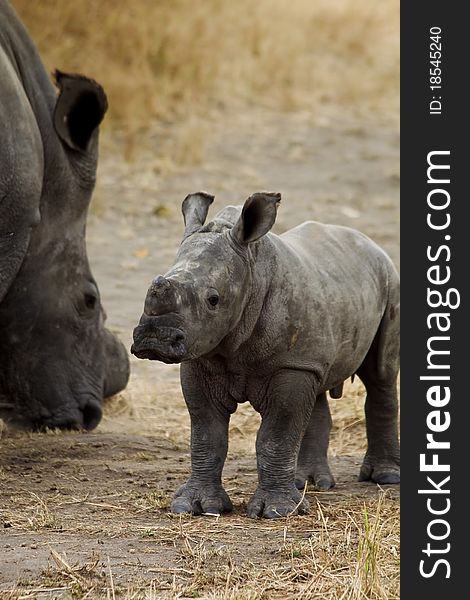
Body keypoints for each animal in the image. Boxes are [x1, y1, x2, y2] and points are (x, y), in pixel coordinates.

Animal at [132, 191, 400, 516]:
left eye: (213, 299)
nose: (154, 338)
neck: (251, 269)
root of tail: (369, 242)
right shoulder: (203, 357)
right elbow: (206, 434)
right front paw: (195, 506)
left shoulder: (290, 364)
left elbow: (277, 434)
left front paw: (276, 512)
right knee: (318, 388)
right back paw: (309, 483)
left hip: (389, 280)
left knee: (380, 377)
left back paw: (384, 478)